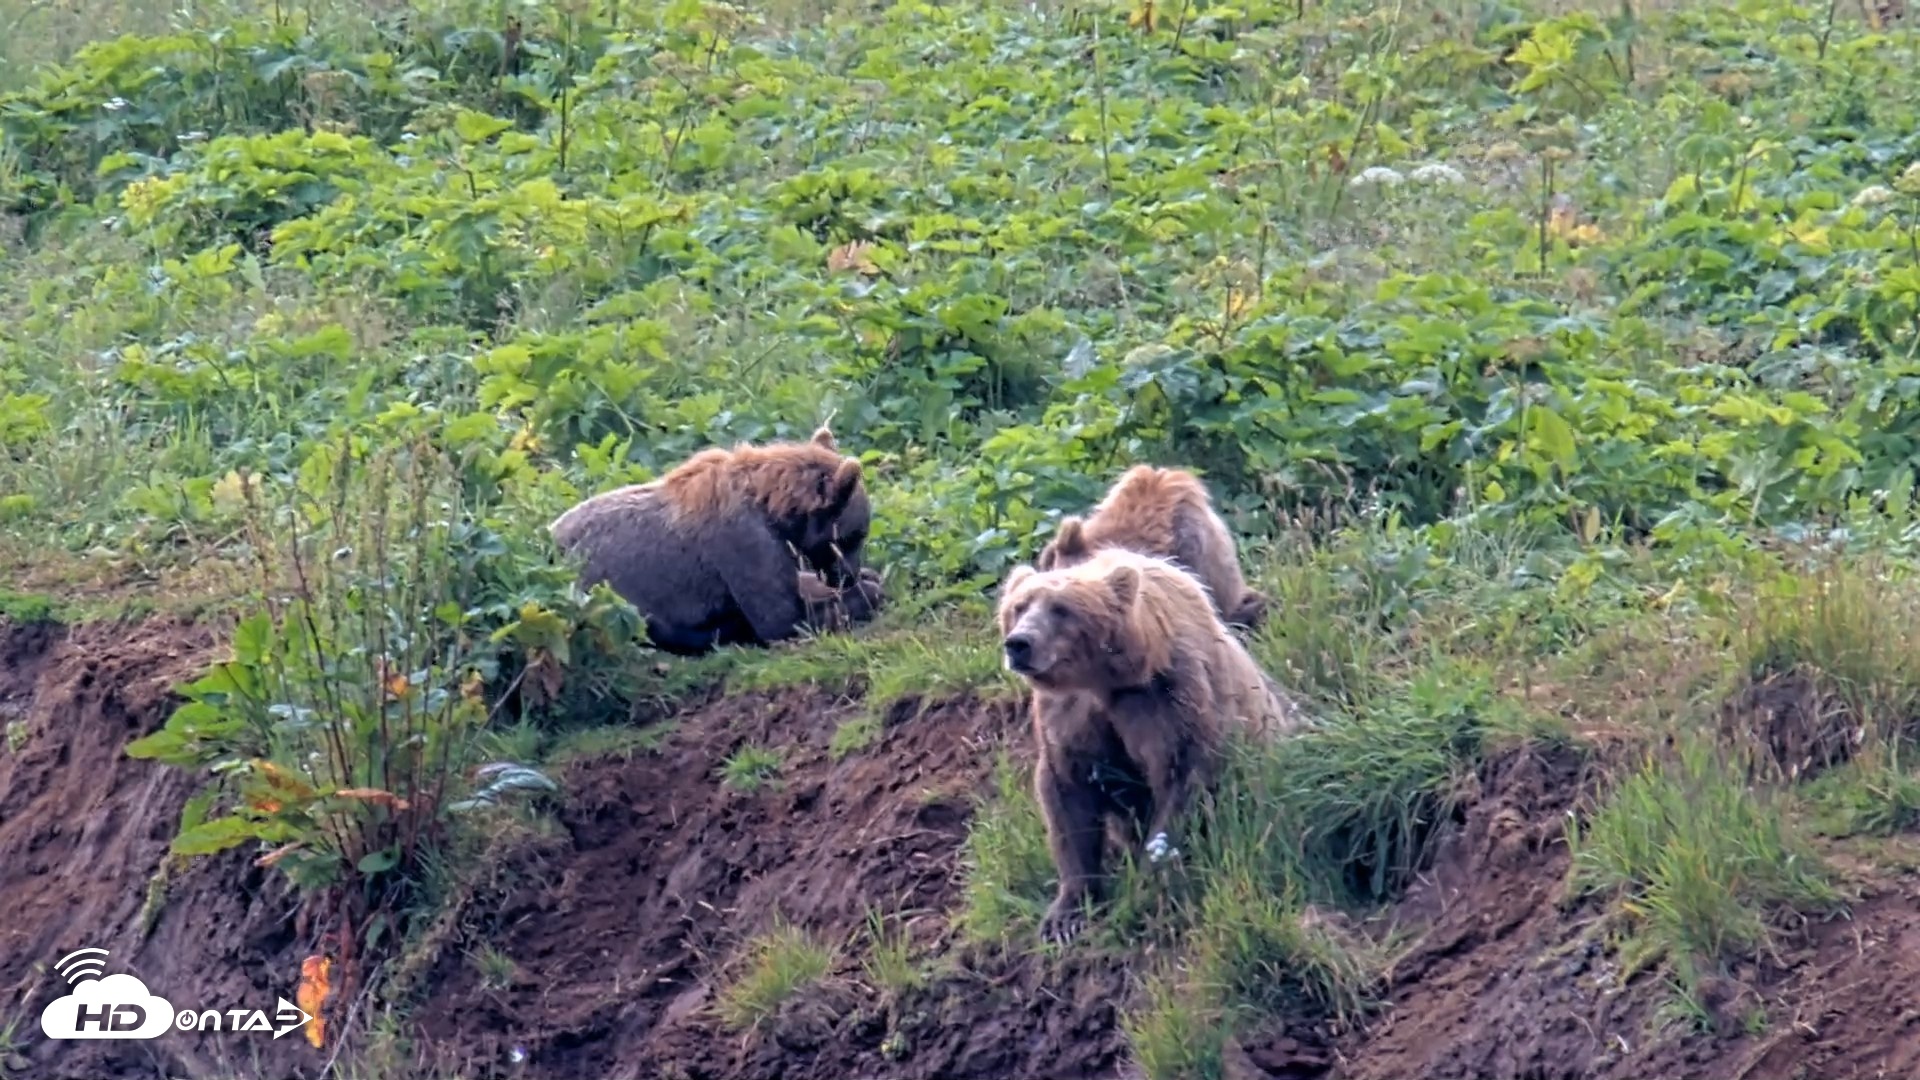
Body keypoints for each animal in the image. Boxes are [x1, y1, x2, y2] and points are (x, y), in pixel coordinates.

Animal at [549, 426, 883, 656]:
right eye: (855, 535)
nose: (849, 574)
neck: (774, 511)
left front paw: (868, 578)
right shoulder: (742, 543)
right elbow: (783, 619)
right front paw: (866, 591)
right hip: (598, 596)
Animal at [995, 546, 1299, 945]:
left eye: (1061, 608)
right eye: (1019, 606)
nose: (1019, 643)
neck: (1106, 679)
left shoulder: (1168, 698)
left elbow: (1183, 776)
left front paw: (1148, 880)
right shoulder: (1070, 717)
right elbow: (1067, 798)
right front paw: (1066, 914)